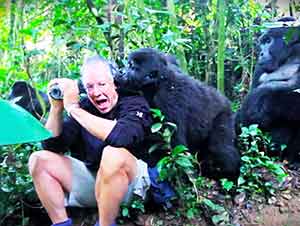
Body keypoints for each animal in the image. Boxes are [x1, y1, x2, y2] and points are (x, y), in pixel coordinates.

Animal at [117, 48, 241, 180]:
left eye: (132, 67)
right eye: (128, 64)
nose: (121, 71)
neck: (158, 81)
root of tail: (226, 102)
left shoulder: (168, 99)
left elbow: (176, 144)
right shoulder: (170, 63)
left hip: (224, 115)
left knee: (221, 149)